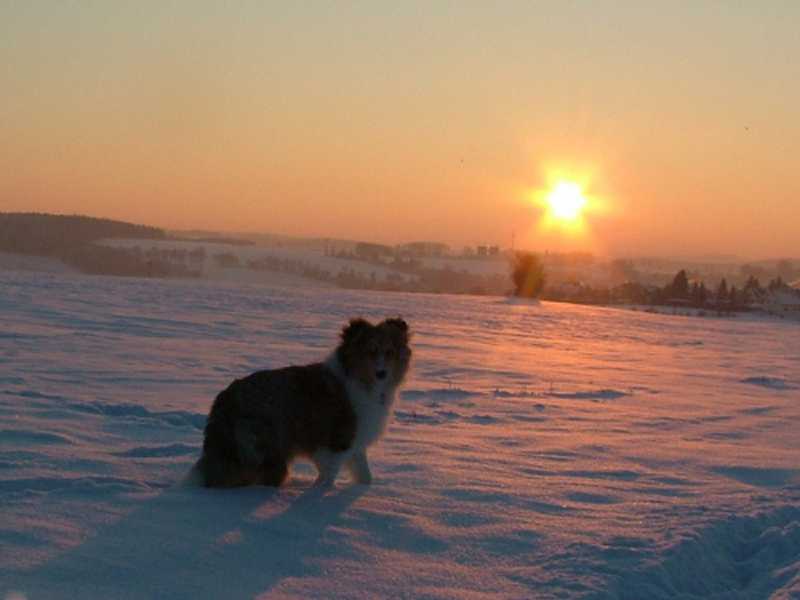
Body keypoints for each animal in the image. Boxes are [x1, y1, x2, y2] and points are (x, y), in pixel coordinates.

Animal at [189, 318, 412, 488]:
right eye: (369, 351)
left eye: (390, 353)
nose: (381, 373)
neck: (359, 378)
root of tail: (223, 401)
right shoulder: (336, 441)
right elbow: (328, 475)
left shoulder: (356, 441)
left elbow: (364, 475)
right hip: (265, 448)